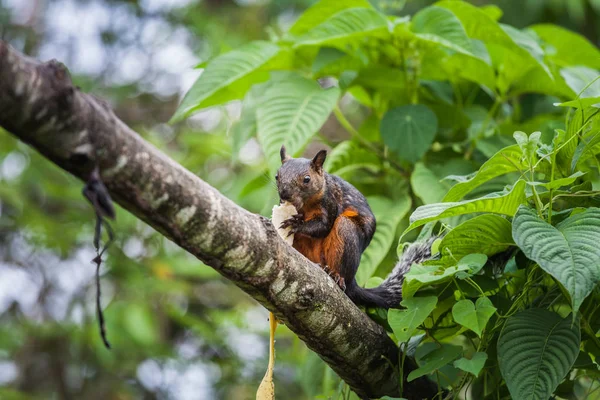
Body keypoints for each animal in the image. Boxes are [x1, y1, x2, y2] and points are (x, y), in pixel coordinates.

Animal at [274, 145, 434, 308]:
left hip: (346, 234)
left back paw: (336, 276)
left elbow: (323, 226)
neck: (305, 205)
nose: (284, 194)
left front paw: (297, 224)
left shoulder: (330, 202)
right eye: (277, 176)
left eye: (307, 179)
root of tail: (353, 285)